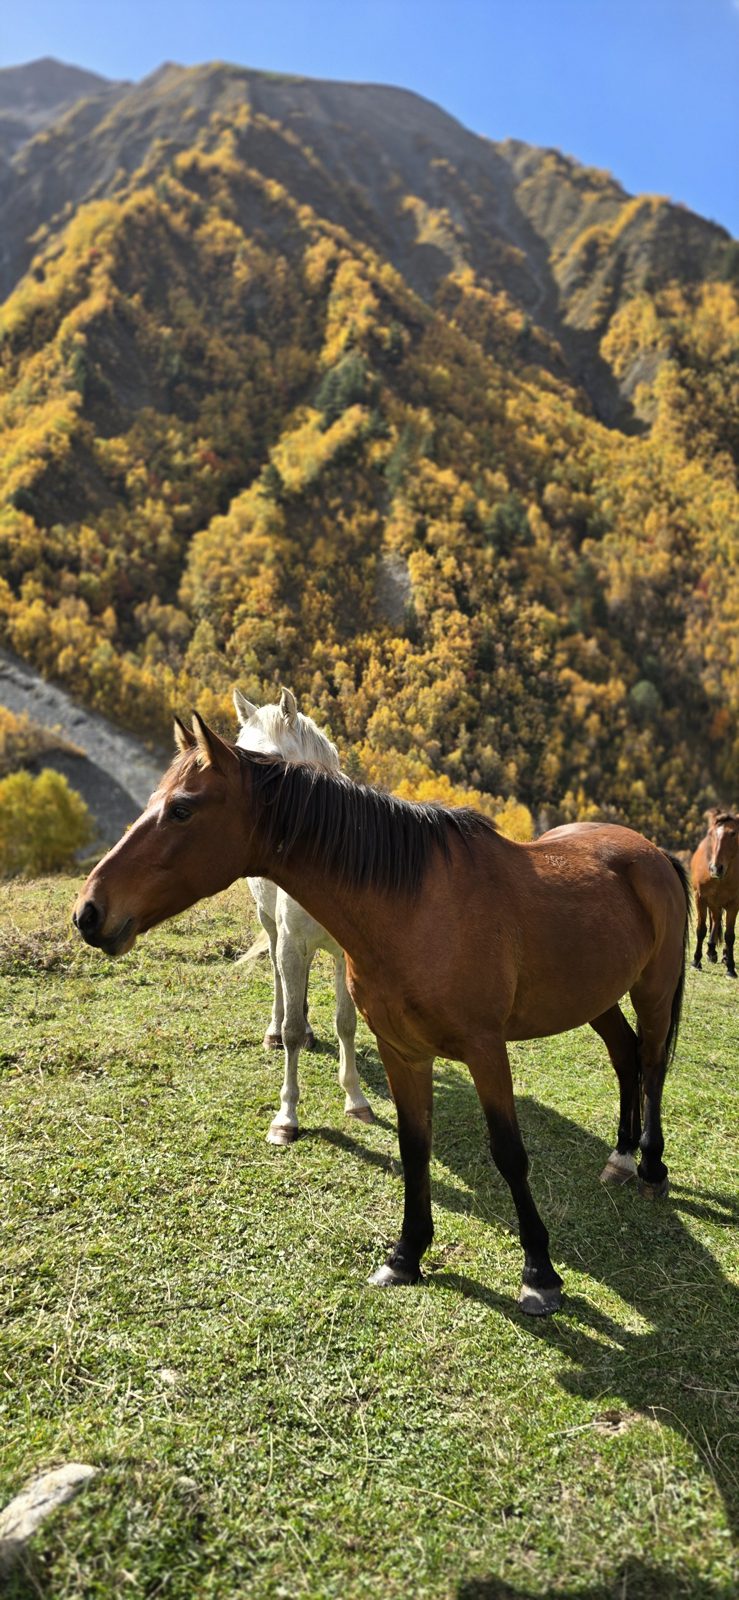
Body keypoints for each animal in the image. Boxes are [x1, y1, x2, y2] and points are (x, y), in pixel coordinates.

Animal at [232, 685, 374, 1141]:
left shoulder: (348, 953)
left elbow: (346, 1022)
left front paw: (356, 1100)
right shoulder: (292, 944)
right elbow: (292, 1030)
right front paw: (286, 1118)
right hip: (274, 930)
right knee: (280, 981)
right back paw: (273, 1031)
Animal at [690, 808, 738, 979]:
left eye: (733, 833)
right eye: (710, 833)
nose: (716, 868)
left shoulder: (734, 903)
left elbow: (730, 936)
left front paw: (731, 968)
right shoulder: (700, 898)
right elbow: (700, 930)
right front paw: (696, 961)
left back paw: (723, 955)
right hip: (712, 902)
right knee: (715, 920)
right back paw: (711, 951)